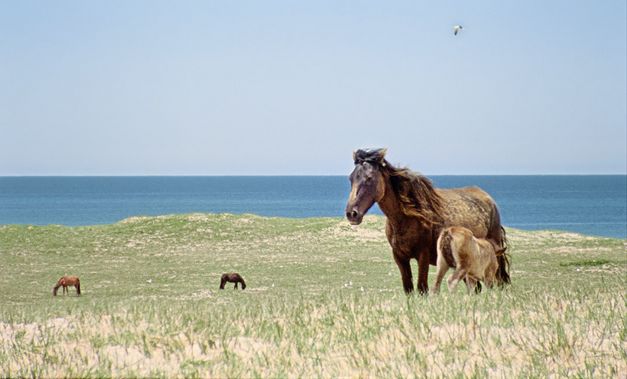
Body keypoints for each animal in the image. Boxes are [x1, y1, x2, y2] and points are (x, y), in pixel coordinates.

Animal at [346, 150, 512, 296]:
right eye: (351, 178)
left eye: (369, 178)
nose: (352, 213)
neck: (406, 219)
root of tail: (489, 200)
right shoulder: (400, 257)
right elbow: (409, 289)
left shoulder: (423, 256)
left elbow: (422, 289)